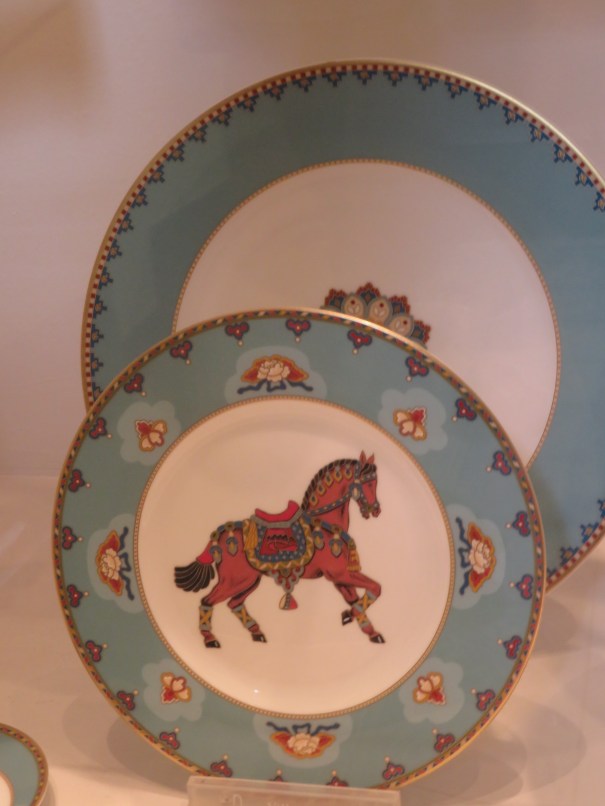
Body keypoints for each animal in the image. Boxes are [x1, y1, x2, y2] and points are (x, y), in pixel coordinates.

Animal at [174, 451, 384, 647]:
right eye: (368, 483)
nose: (376, 509)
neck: (324, 523)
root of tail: (219, 536)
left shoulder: (339, 578)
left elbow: (357, 599)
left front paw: (369, 630)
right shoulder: (339, 574)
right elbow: (376, 588)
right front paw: (352, 616)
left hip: (249, 581)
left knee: (234, 603)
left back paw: (256, 632)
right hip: (234, 580)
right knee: (207, 601)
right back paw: (210, 639)